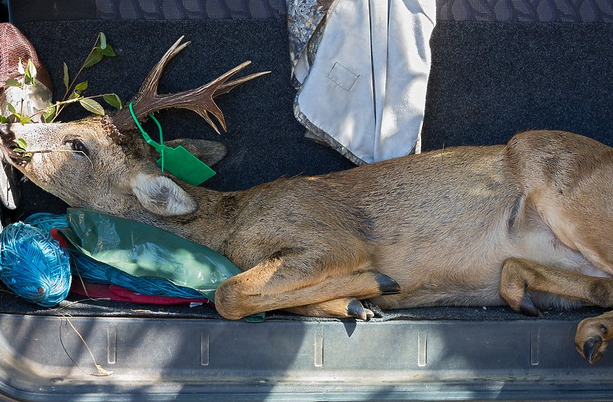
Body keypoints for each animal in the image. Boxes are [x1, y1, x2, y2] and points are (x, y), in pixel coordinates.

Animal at [1, 37, 612, 364]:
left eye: (77, 144)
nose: (13, 134)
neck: (228, 223)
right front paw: (353, 305)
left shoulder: (326, 236)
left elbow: (226, 292)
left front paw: (373, 285)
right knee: (593, 286)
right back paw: (537, 301)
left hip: (567, 191)